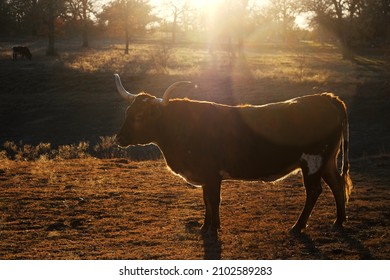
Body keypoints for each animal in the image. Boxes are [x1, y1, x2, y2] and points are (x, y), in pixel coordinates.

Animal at [113, 74, 354, 234]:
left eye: (141, 116)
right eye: (128, 112)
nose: (119, 138)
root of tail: (326, 97)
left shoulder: (211, 174)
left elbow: (213, 200)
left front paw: (211, 228)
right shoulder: (206, 176)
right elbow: (206, 200)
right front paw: (207, 226)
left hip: (313, 161)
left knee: (314, 191)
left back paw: (298, 226)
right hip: (327, 161)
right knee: (337, 184)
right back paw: (339, 221)